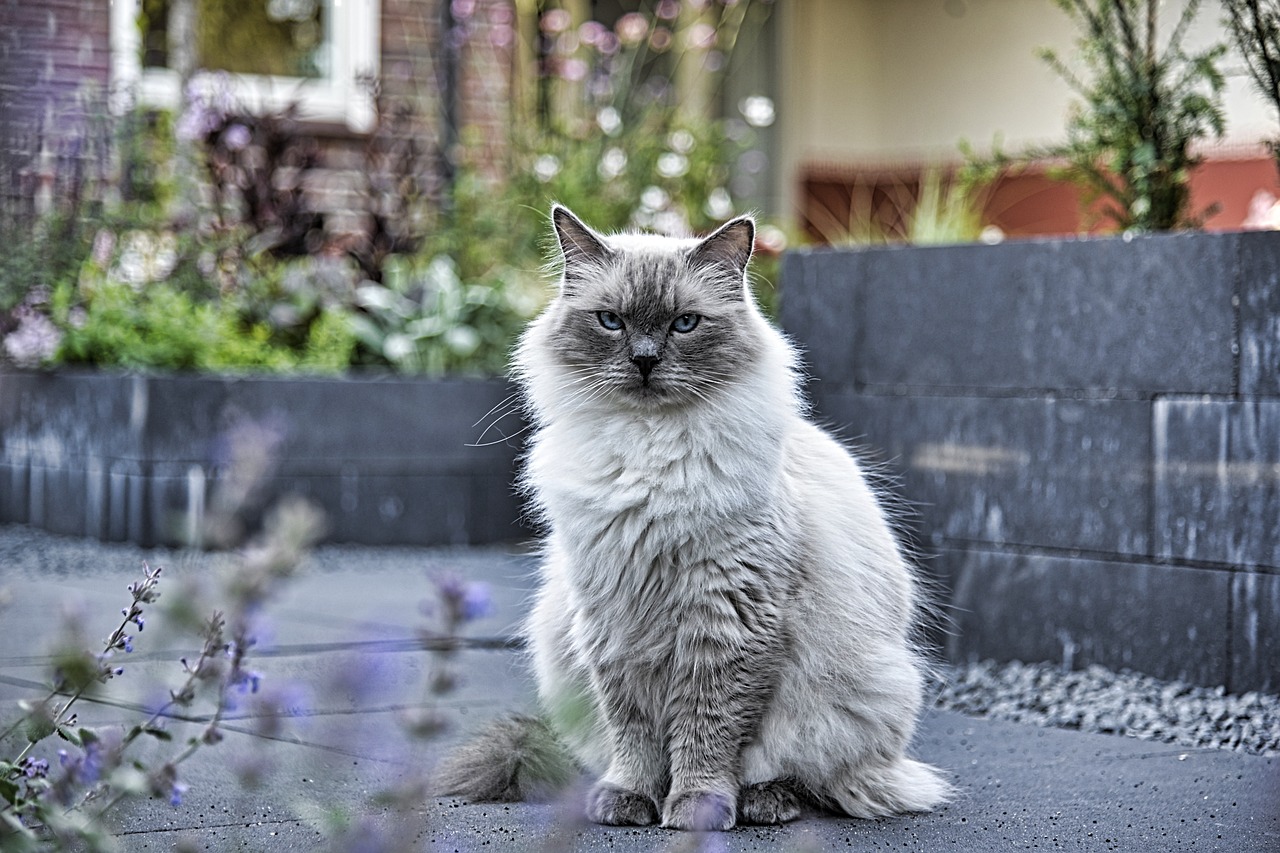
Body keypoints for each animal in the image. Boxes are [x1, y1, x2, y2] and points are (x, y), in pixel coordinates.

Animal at [440, 202, 952, 824]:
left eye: (685, 324)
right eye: (610, 321)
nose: (644, 360)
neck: (646, 451)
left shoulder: (728, 618)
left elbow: (708, 732)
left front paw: (695, 808)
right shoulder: (613, 621)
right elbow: (633, 735)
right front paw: (631, 799)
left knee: (808, 778)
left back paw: (765, 802)